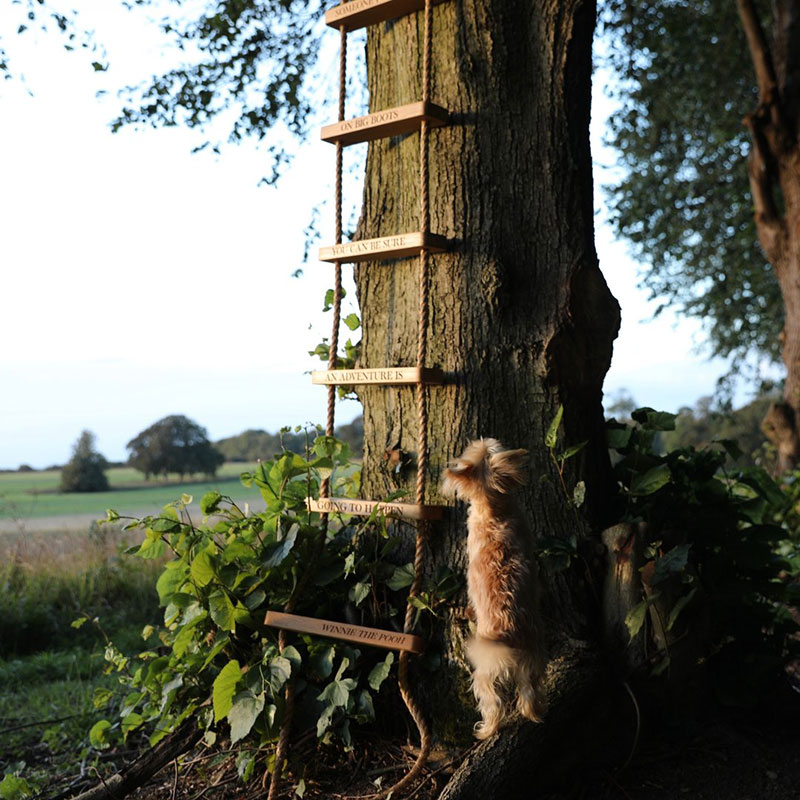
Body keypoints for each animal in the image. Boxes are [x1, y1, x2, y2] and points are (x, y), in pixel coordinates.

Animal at [440, 438, 548, 736]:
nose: (483, 439)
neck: (492, 510)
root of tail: (507, 633)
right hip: (530, 659)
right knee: (527, 692)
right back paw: (533, 714)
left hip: (487, 672)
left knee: (495, 701)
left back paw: (488, 729)